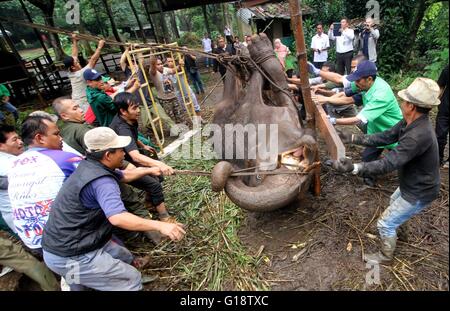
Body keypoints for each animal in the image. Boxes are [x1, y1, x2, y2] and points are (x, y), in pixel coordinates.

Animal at [210, 34, 318, 213]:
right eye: (259, 176)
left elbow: (269, 81)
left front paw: (251, 51)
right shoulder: (282, 113)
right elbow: (275, 81)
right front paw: (254, 50)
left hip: (223, 108)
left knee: (230, 90)